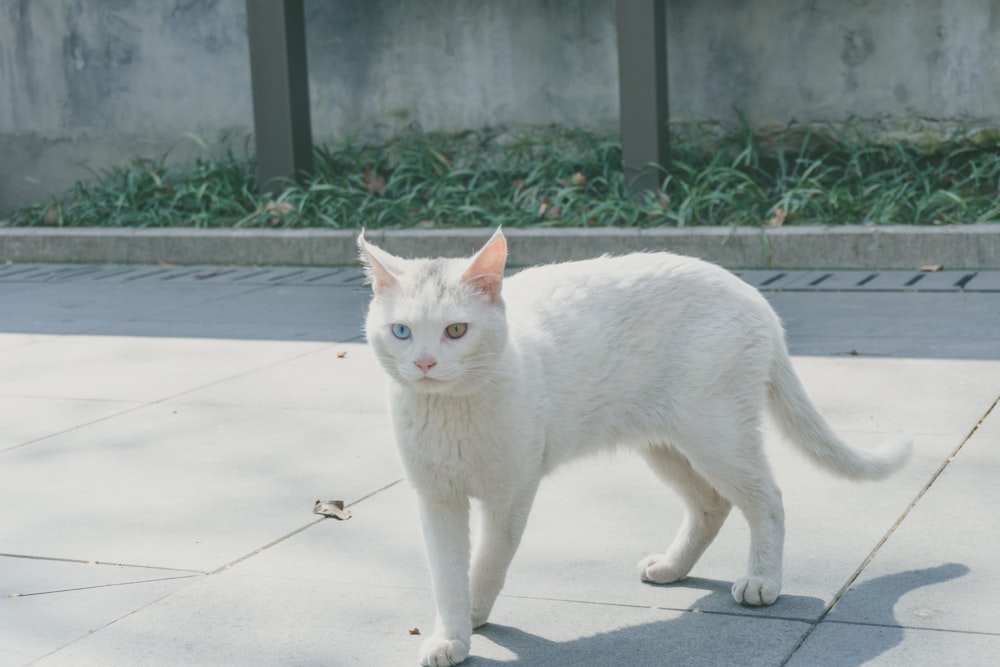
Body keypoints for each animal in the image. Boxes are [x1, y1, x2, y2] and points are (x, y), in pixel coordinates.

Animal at [360, 230, 916, 667]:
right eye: (401, 331)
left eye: (456, 330)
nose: (424, 363)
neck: (452, 410)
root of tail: (752, 295)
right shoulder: (437, 499)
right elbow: (446, 574)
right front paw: (451, 634)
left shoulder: (511, 494)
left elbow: (489, 562)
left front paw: (475, 616)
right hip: (666, 444)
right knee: (713, 504)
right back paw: (672, 567)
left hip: (716, 432)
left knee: (767, 499)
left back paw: (761, 580)